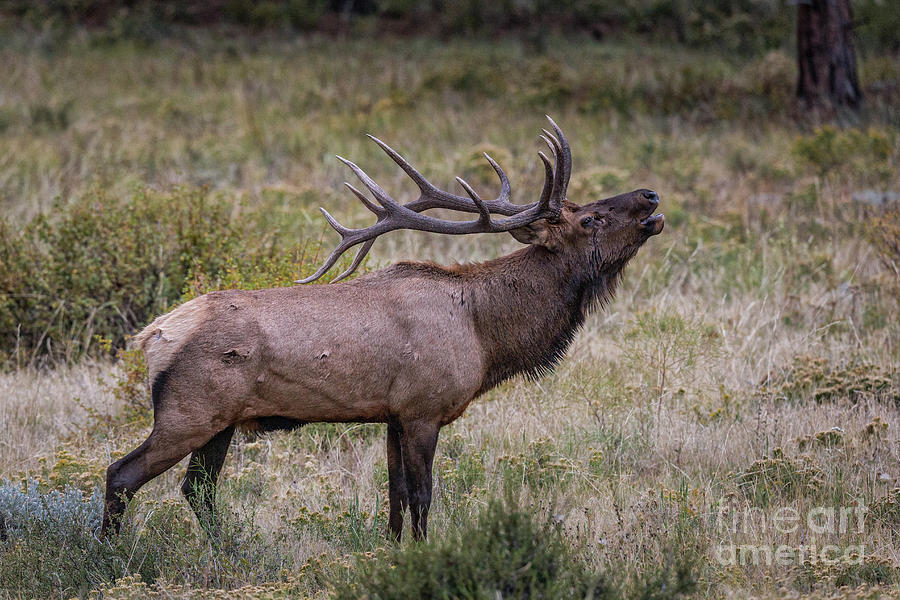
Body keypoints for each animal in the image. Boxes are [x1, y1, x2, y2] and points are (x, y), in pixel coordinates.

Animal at [102, 116, 664, 540]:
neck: (485, 336)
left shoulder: (392, 414)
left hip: (220, 422)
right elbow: (421, 497)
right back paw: (110, 553)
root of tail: (151, 336)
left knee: (198, 490)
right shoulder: (423, 408)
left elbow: (393, 498)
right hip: (189, 411)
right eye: (589, 220)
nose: (650, 197)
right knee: (122, 474)